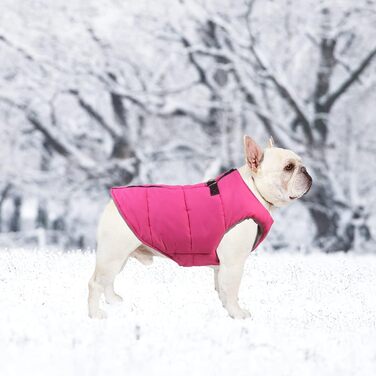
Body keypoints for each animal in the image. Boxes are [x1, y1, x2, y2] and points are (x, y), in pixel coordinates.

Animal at [87, 137, 312, 318]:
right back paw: (95, 314)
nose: (306, 170)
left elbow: (222, 288)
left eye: (300, 163)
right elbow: (232, 290)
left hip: (119, 256)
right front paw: (237, 314)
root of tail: (112, 201)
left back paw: (113, 300)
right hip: (113, 254)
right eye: (288, 167)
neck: (254, 189)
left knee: (108, 281)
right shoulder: (234, 263)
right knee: (96, 282)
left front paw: (226, 308)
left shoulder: (223, 265)